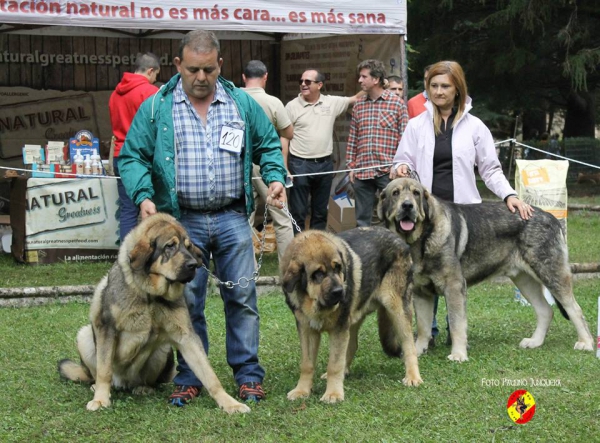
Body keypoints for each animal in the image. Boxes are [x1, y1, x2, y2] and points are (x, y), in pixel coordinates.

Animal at [57, 213, 250, 414]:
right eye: (170, 246)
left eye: (188, 247)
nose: (193, 265)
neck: (150, 295)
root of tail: (123, 382)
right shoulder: (107, 329)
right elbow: (104, 370)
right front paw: (101, 399)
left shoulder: (186, 336)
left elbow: (209, 375)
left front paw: (230, 403)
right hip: (85, 336)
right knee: (98, 372)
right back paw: (97, 386)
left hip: (162, 350)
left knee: (147, 380)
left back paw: (143, 387)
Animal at [282, 227, 422, 404]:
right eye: (318, 274)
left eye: (338, 268)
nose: (340, 291)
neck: (314, 304)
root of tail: (396, 236)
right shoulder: (307, 330)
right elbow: (307, 364)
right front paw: (302, 390)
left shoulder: (339, 329)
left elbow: (334, 364)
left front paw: (333, 394)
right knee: (352, 345)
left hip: (396, 308)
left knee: (408, 344)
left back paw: (413, 377)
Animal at [380, 179, 596, 362]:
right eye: (395, 193)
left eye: (416, 193)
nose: (407, 206)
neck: (422, 239)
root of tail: (551, 217)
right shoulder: (421, 292)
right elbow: (424, 326)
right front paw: (417, 351)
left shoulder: (454, 287)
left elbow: (457, 324)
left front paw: (458, 354)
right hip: (524, 280)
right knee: (546, 311)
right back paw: (535, 342)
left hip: (551, 273)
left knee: (574, 308)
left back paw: (586, 343)